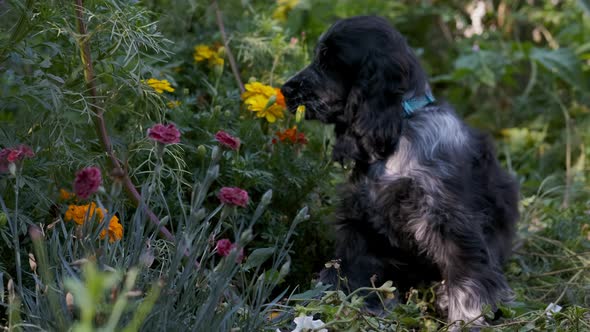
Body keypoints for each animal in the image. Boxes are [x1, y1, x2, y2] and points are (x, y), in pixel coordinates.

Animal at [282, 16, 520, 326]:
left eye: (327, 61)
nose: (284, 89)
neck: (402, 125)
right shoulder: (360, 221)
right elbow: (346, 272)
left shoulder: (450, 222)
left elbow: (469, 281)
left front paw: (467, 321)